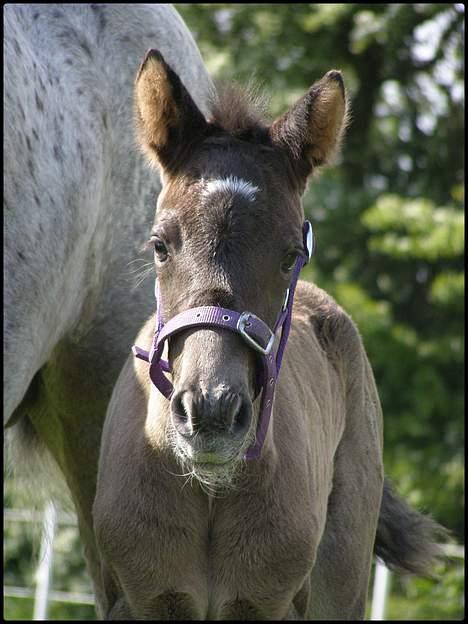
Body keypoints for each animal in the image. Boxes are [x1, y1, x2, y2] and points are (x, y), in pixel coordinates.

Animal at [93, 50, 448, 620]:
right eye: (159, 245)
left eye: (289, 255)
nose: (211, 410)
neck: (211, 490)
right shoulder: (142, 598)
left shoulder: (266, 603)